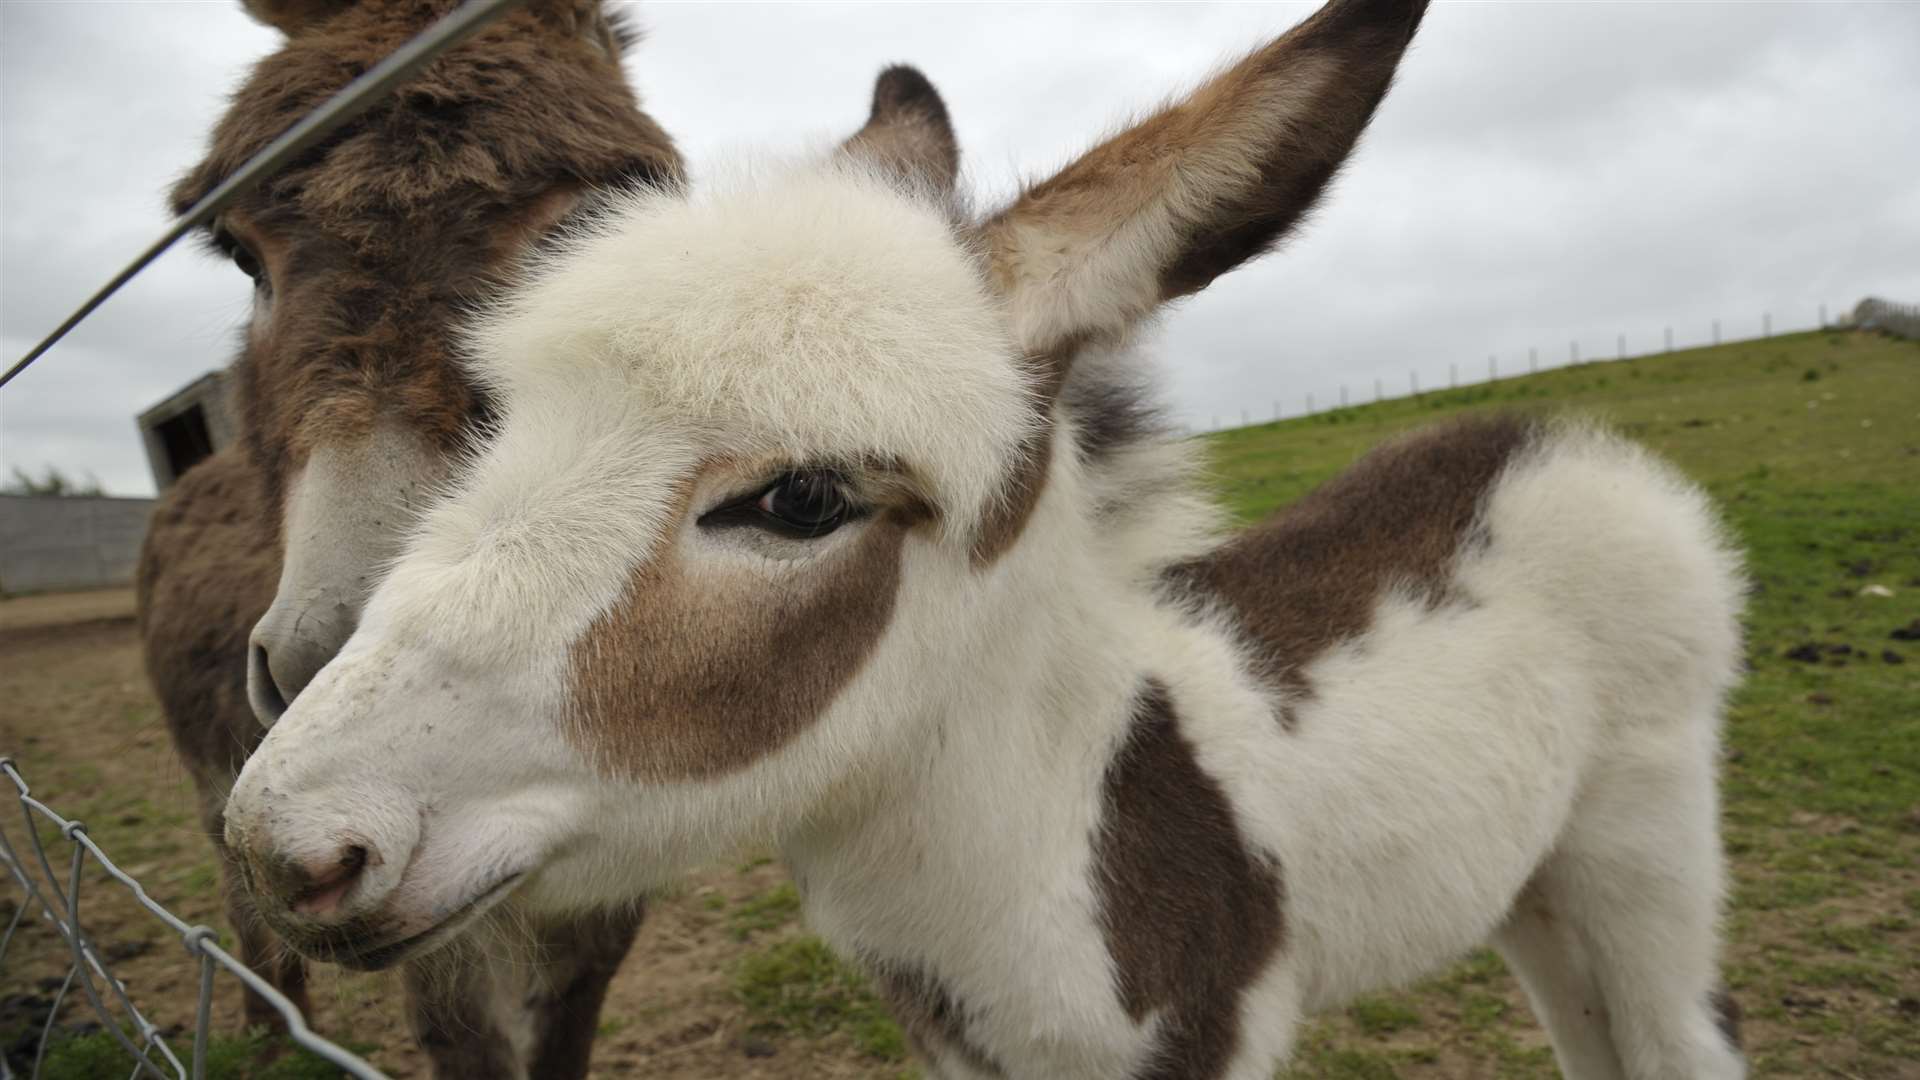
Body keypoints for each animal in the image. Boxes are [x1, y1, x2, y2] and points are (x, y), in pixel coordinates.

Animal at [217, 0, 1751, 1068]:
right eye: (506, 424)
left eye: (801, 501)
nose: (286, 842)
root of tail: (1542, 434)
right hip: (1532, 886)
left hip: (1644, 845)